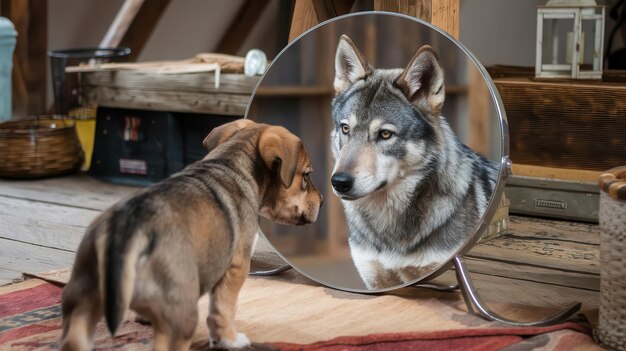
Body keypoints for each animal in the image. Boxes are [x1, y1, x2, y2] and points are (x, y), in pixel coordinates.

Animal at [59, 119, 322, 350]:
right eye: (306, 176)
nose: (322, 199)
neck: (232, 163)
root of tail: (128, 230)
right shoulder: (236, 267)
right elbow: (224, 309)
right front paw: (229, 340)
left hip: (81, 301)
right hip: (180, 316)